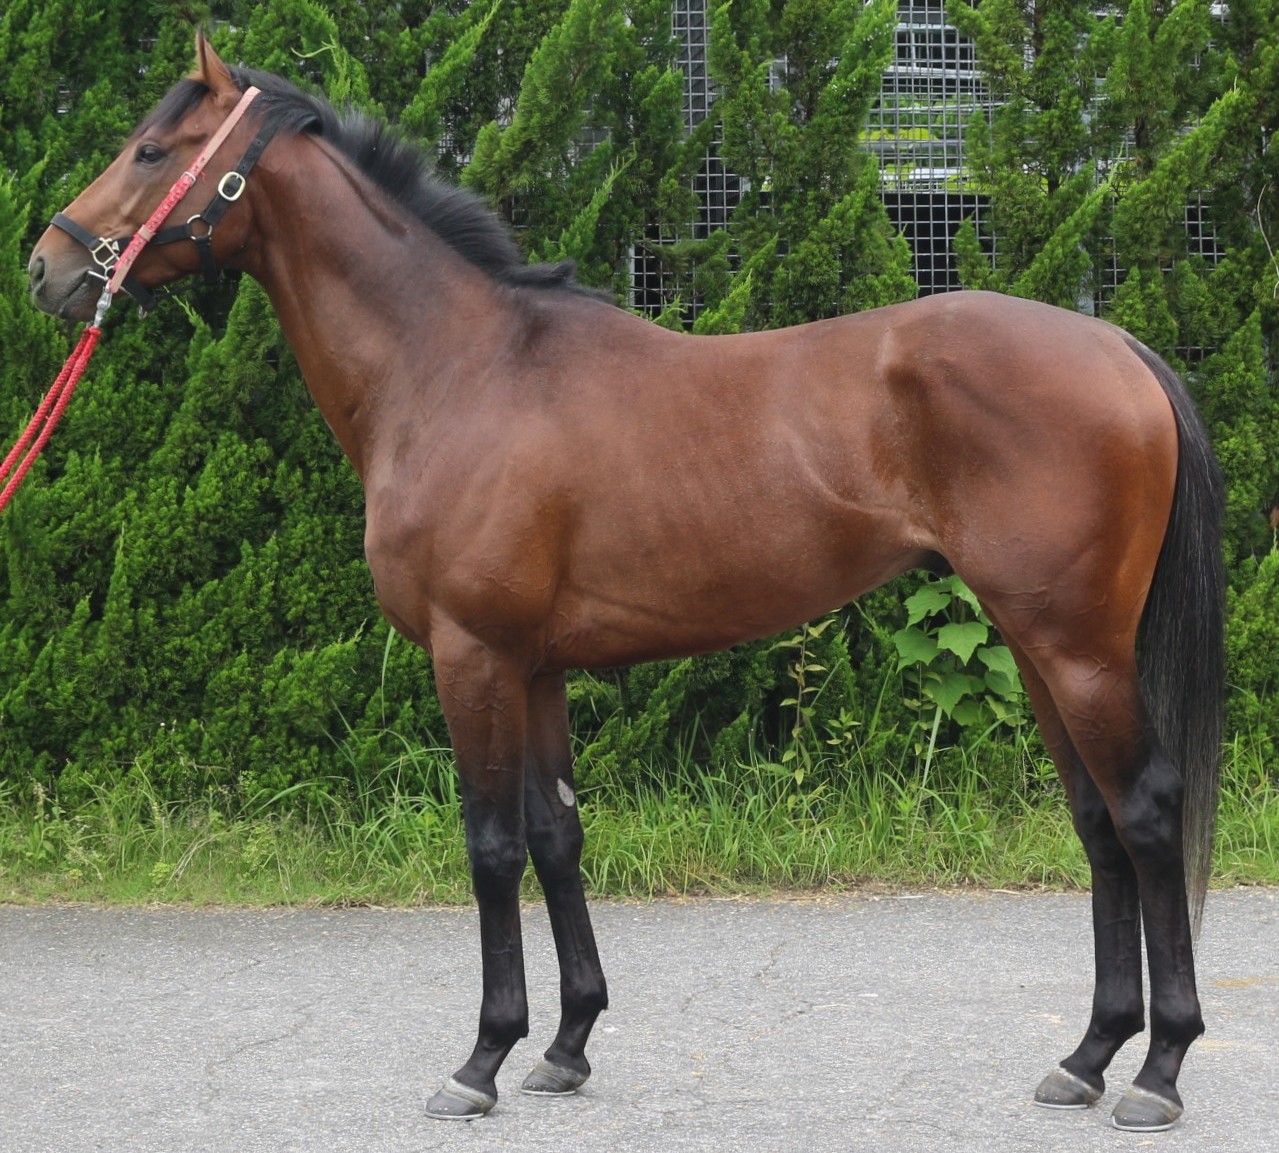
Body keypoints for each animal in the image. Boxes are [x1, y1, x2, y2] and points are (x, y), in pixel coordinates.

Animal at [27, 35, 1224, 1133]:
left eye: (151, 149)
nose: (48, 265)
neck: (458, 368)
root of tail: (1117, 346)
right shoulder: (537, 668)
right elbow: (557, 836)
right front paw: (565, 1045)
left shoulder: (472, 655)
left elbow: (490, 845)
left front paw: (479, 1060)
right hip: (1036, 646)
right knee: (1094, 820)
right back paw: (1085, 1056)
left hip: (1075, 648)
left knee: (1145, 812)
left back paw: (1158, 1071)